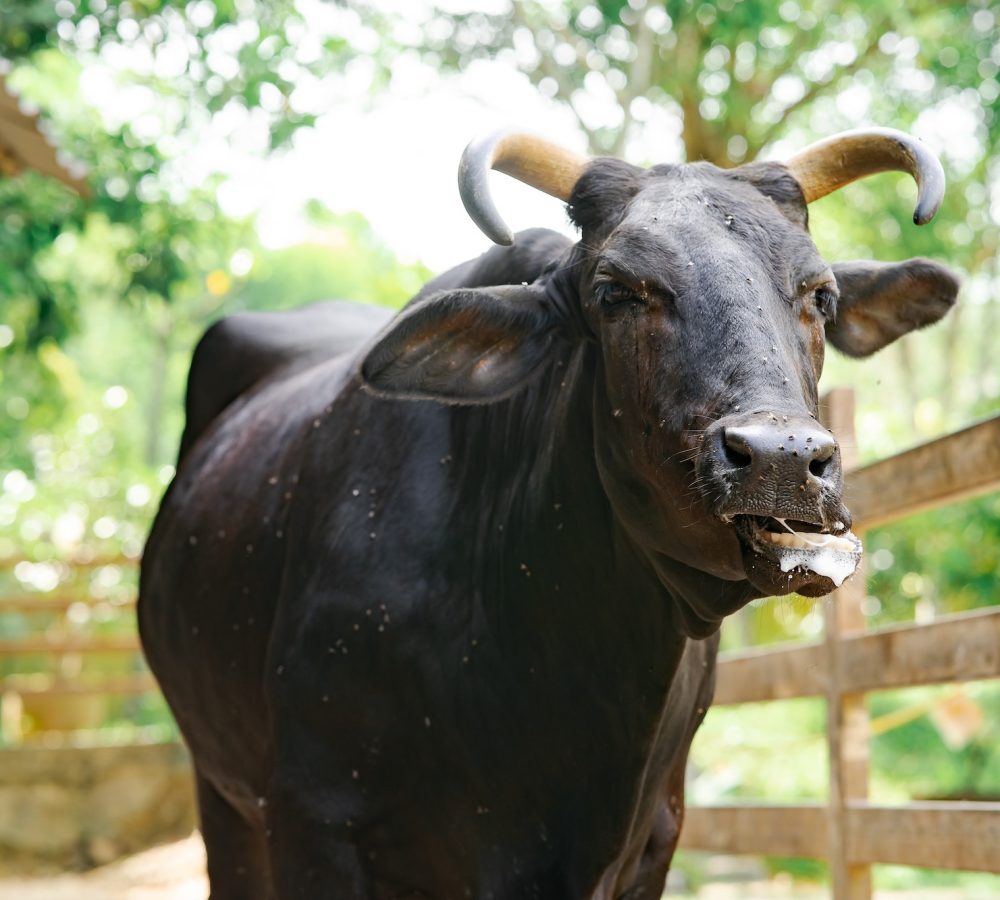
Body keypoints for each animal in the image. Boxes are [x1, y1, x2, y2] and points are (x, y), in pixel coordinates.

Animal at [139, 128, 958, 900]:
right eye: (617, 290)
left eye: (820, 295)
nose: (782, 458)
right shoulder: (311, 823)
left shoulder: (653, 839)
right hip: (222, 795)